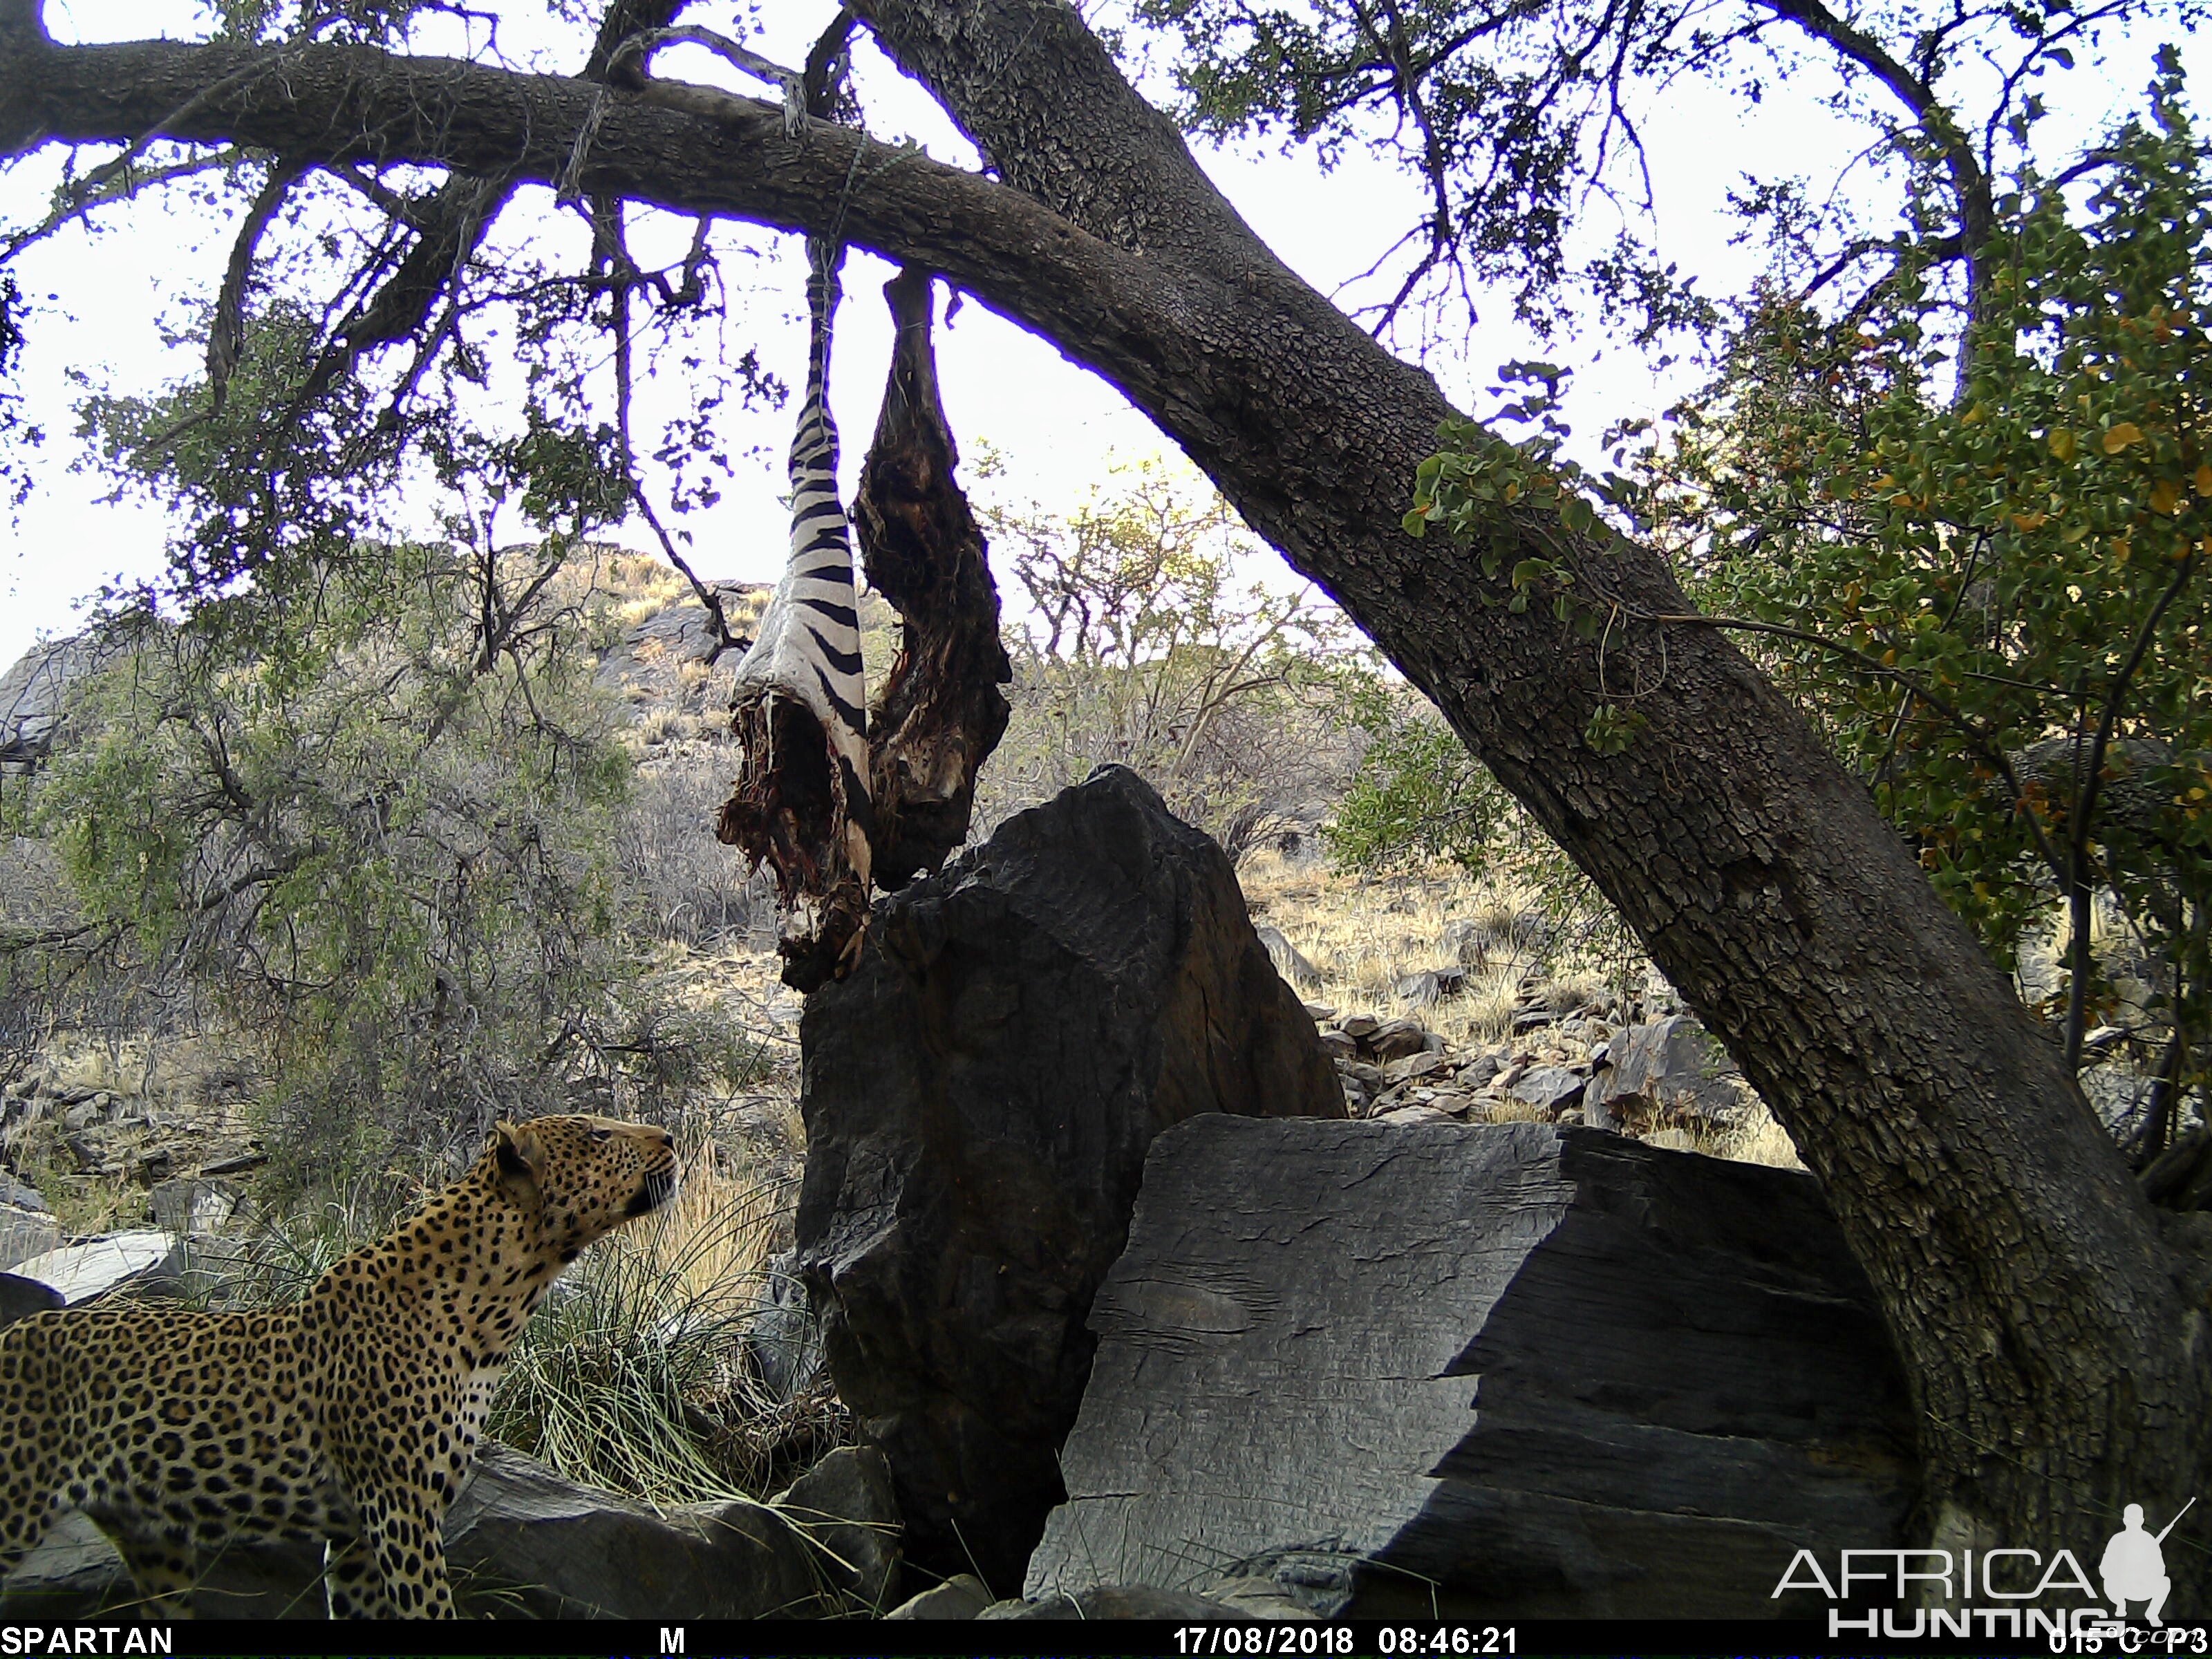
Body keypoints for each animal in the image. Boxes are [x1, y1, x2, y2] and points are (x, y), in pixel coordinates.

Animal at [0, 1119, 677, 1628]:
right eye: (596, 1133)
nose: (670, 1137)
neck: (503, 1303)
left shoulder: (354, 1538)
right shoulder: (401, 1510)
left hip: (158, 1550)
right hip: (15, 1508)